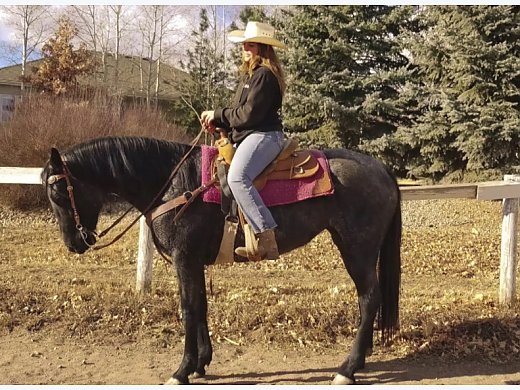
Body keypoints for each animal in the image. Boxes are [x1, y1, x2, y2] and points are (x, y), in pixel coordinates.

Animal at [42, 136, 402, 386]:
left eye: (58, 194)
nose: (75, 244)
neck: (175, 185)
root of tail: (381, 169)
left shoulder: (184, 259)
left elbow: (188, 308)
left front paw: (182, 370)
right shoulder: (194, 262)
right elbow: (201, 304)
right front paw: (202, 363)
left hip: (356, 249)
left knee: (368, 299)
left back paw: (347, 368)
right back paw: (361, 359)